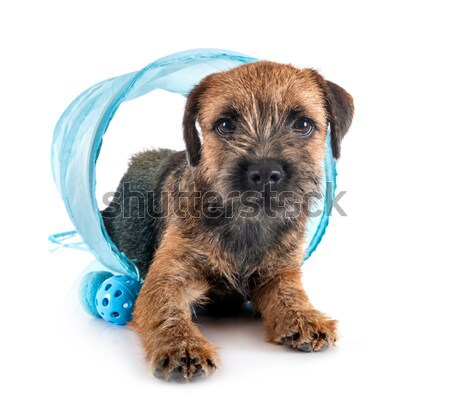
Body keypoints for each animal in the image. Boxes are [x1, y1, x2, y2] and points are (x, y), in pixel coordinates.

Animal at [101, 61, 352, 382]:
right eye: (225, 125)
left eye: (303, 124)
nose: (265, 172)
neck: (247, 222)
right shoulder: (167, 276)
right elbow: (167, 310)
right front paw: (183, 346)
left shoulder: (279, 272)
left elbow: (290, 294)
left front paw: (305, 317)